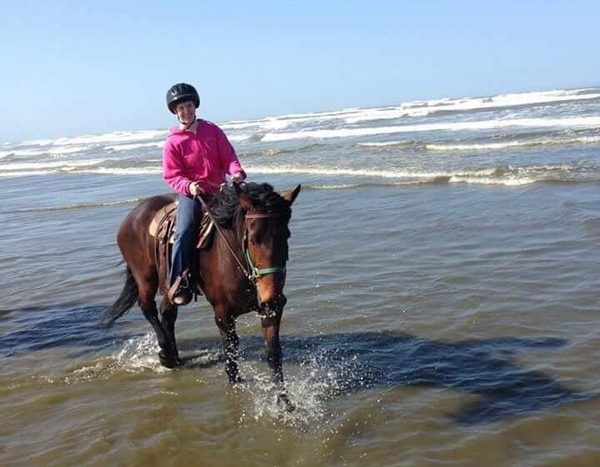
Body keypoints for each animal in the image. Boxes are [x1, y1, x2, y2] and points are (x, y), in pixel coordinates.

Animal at [106, 183, 300, 410]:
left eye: (286, 236)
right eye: (252, 239)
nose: (273, 296)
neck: (233, 256)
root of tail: (132, 216)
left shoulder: (270, 310)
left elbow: (273, 353)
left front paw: (284, 402)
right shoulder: (223, 314)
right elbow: (232, 356)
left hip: (170, 282)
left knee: (167, 312)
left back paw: (174, 356)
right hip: (145, 278)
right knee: (148, 308)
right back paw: (166, 354)